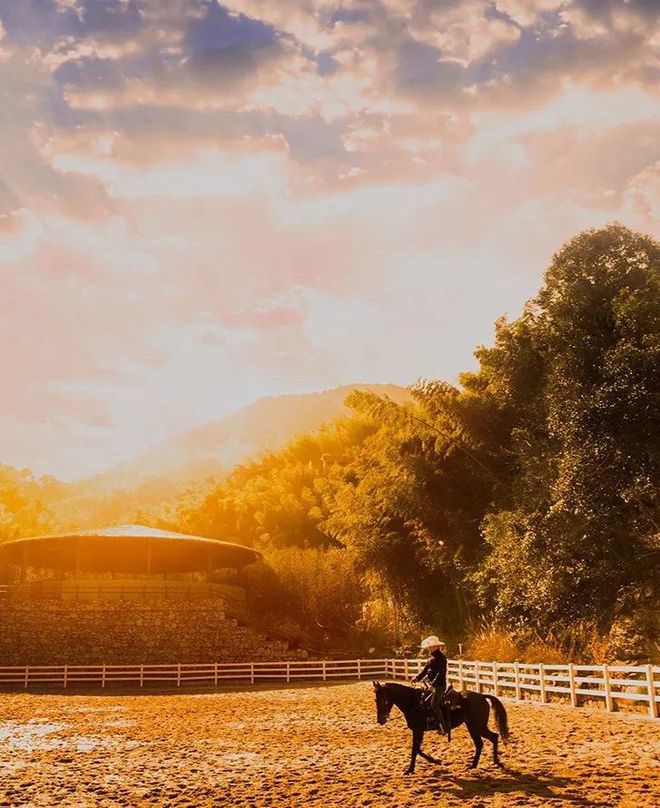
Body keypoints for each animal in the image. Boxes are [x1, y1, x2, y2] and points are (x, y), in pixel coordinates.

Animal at [372, 680, 510, 776]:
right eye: (375, 700)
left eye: (383, 700)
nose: (380, 720)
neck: (415, 703)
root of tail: (482, 696)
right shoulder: (419, 731)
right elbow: (417, 749)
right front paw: (435, 760)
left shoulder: (418, 730)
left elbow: (414, 749)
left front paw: (410, 769)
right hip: (474, 727)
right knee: (484, 741)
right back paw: (478, 764)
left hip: (477, 726)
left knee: (491, 738)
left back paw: (493, 762)